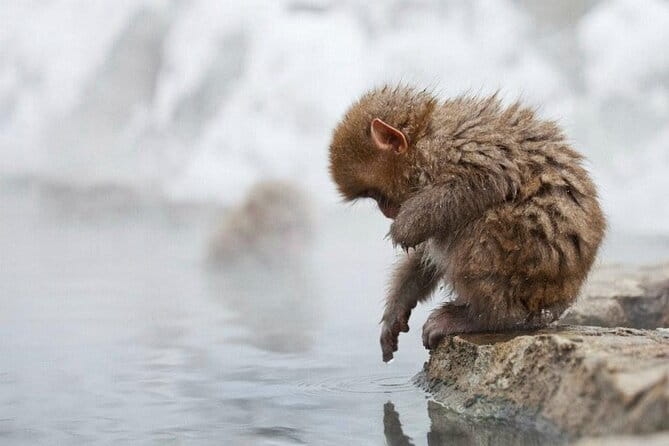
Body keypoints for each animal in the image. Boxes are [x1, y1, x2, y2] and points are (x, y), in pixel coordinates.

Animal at [329, 85, 605, 362]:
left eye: (377, 195)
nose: (386, 212)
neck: (424, 135)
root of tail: (565, 294)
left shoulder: (453, 148)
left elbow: (485, 178)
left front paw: (404, 227)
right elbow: (426, 250)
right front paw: (397, 309)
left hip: (531, 267)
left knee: (484, 225)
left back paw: (488, 318)